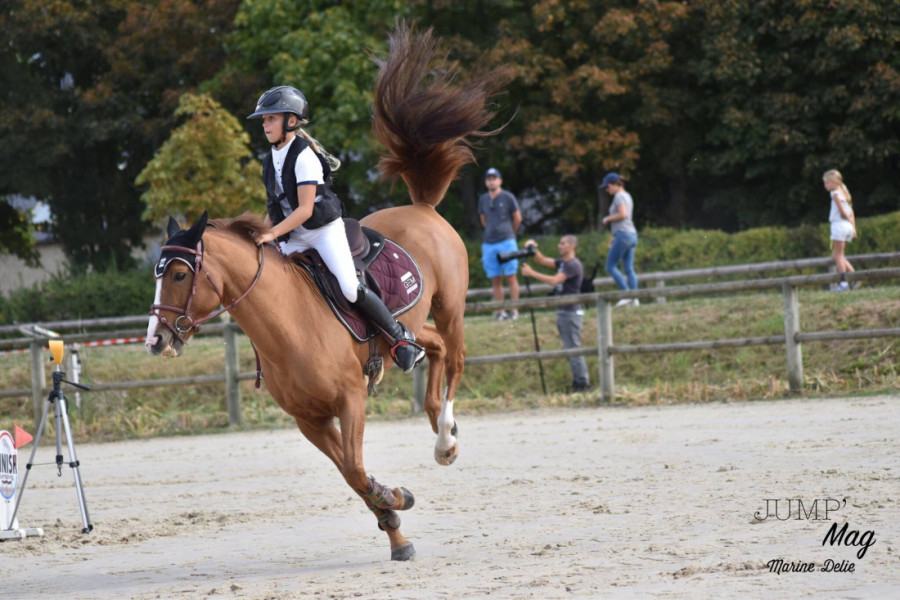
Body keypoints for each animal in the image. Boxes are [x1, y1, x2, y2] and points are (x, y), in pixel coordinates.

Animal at [145, 23, 507, 561]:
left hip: (451, 306)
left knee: (457, 357)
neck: (287, 326)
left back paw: (445, 440)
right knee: (429, 349)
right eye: (158, 272)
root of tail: (422, 208)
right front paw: (396, 520)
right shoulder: (309, 419)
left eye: (180, 275)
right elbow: (352, 476)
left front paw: (395, 506)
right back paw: (438, 417)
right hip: (412, 325)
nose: (156, 340)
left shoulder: (349, 400)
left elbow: (356, 470)